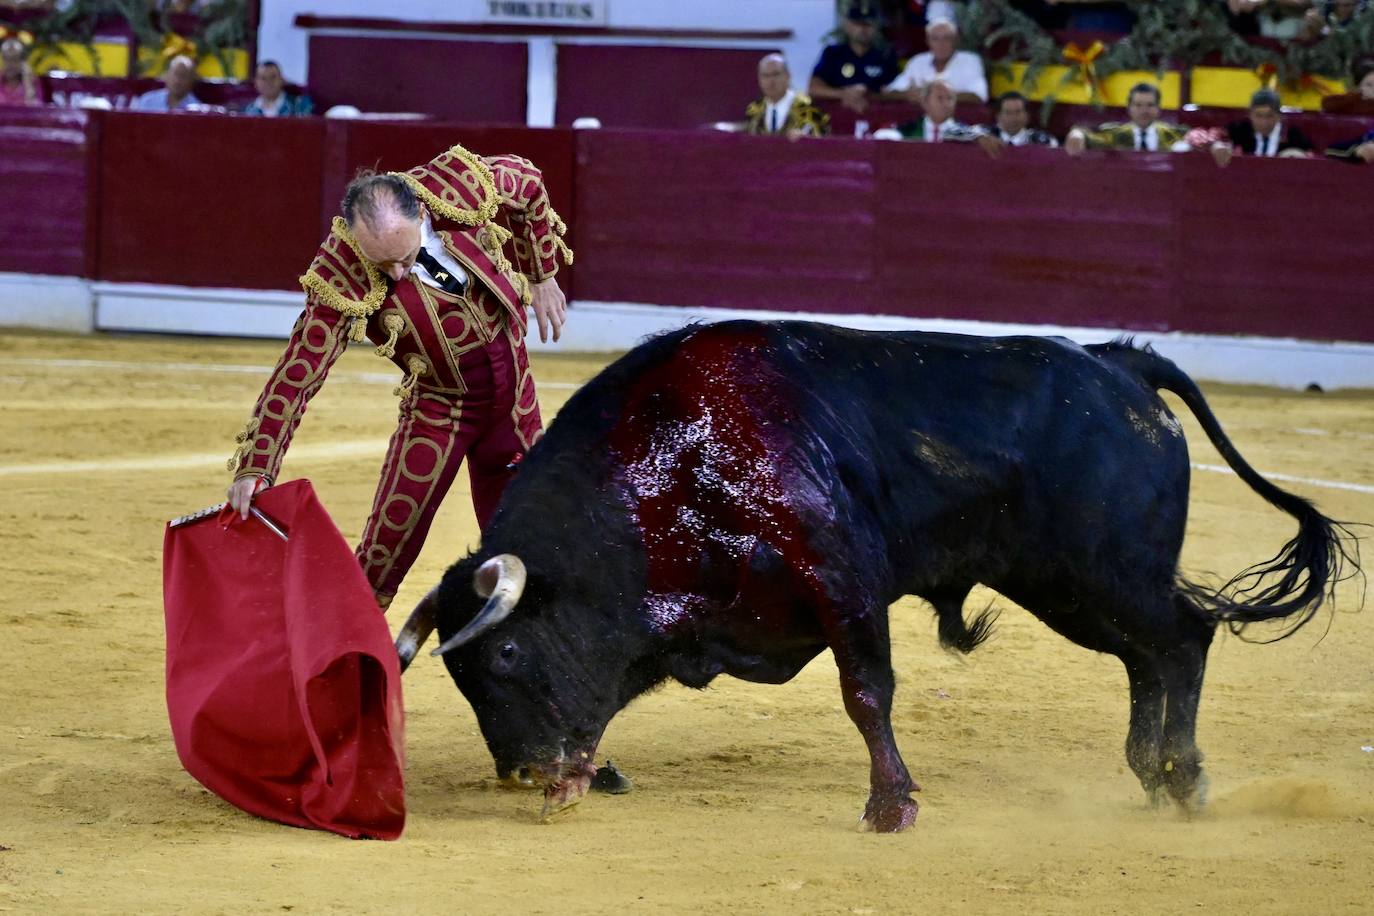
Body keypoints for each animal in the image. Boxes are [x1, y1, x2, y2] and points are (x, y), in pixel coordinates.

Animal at [392, 321, 1357, 829]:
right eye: (463, 676)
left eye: (505, 656)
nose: (521, 771)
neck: (670, 467)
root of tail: (1117, 361)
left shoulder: (845, 579)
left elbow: (867, 693)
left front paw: (891, 807)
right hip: (1068, 585)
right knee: (1147, 655)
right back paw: (1150, 775)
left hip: (1103, 571)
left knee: (1183, 637)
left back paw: (1184, 779)